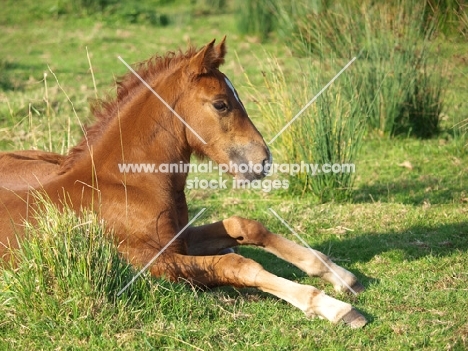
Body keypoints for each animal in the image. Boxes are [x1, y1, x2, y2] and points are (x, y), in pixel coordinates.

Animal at [0, 39, 366, 330]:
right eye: (221, 103)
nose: (263, 160)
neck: (126, 186)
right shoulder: (147, 263)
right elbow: (238, 265)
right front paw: (332, 307)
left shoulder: (180, 239)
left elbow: (244, 225)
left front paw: (338, 275)